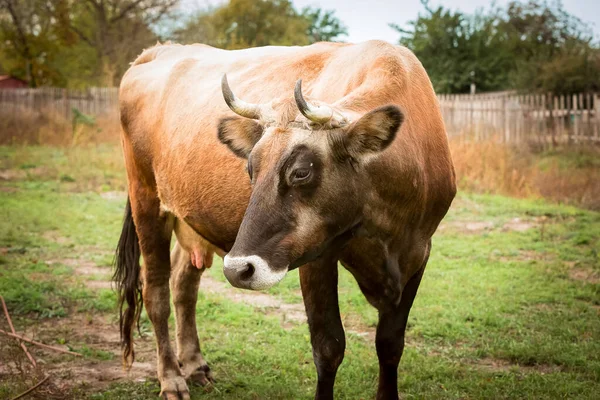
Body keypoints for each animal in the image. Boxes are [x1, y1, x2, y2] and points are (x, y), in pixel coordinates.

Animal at [115, 40, 458, 400]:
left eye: (301, 171)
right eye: (250, 168)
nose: (238, 269)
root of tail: (158, 51)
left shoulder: (418, 254)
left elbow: (390, 345)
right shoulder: (317, 257)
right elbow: (328, 346)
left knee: (183, 284)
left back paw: (194, 366)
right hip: (146, 199)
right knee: (156, 293)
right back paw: (171, 379)